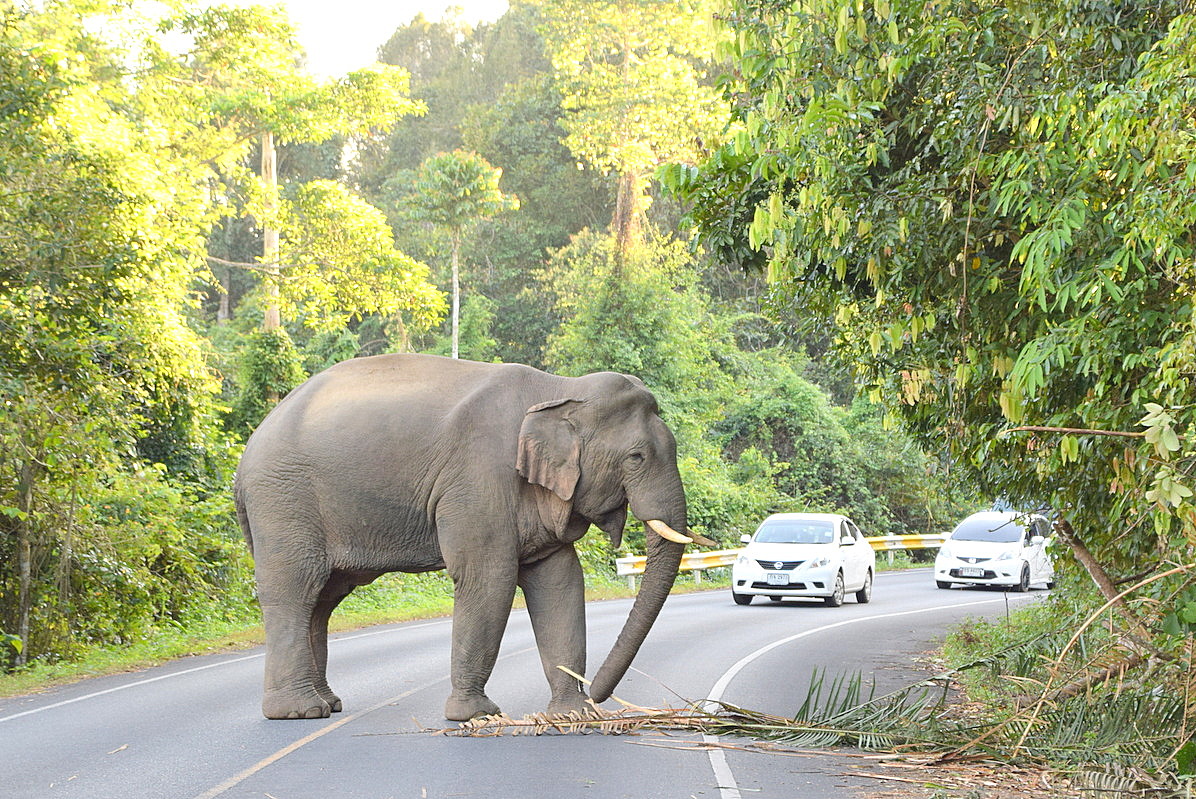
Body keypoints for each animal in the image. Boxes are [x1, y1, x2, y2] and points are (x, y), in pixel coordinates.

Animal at [230, 351, 708, 722]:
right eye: (636, 457)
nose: (596, 693)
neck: (558, 389)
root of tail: (246, 453)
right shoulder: (478, 480)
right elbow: (489, 579)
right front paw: (475, 716)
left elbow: (560, 582)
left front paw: (573, 715)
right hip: (284, 501)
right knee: (296, 590)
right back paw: (298, 712)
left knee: (324, 599)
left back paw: (329, 704)